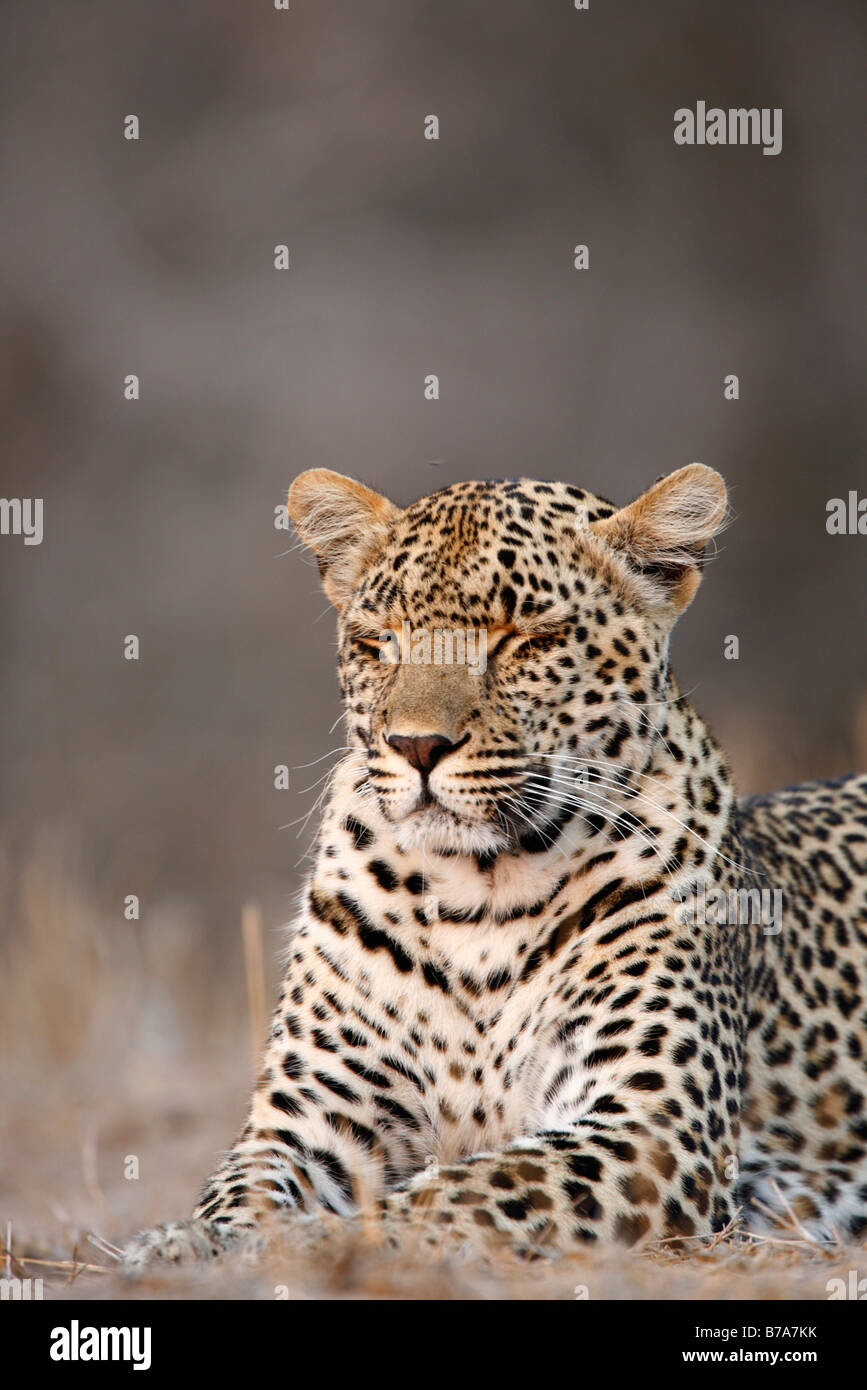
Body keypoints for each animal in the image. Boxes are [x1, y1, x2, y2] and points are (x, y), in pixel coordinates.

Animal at [123, 467, 867, 1273]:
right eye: (381, 641)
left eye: (526, 641)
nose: (416, 746)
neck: (474, 893)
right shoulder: (306, 1118)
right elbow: (238, 1194)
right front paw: (179, 1245)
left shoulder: (652, 1126)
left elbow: (473, 1186)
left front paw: (325, 1240)